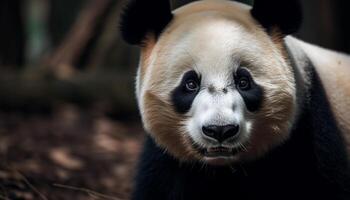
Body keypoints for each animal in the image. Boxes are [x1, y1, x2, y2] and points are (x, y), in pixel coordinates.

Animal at [119, 0, 348, 200]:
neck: (223, 168)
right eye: (190, 84)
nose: (220, 130)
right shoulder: (168, 162)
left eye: (243, 82)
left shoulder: (308, 135)